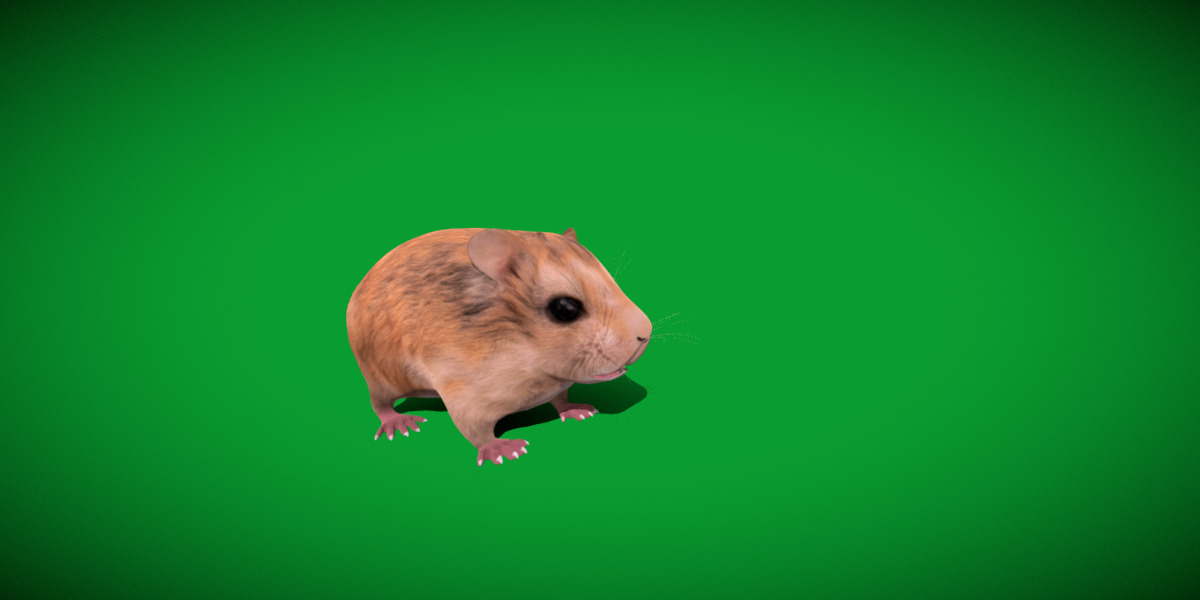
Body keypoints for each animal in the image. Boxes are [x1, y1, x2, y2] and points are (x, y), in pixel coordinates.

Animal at [346, 228, 652, 466]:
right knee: (379, 403)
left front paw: (580, 410)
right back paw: (399, 423)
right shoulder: (463, 391)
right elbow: (475, 429)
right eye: (565, 308)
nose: (646, 334)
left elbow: (561, 400)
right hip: (380, 375)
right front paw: (506, 450)